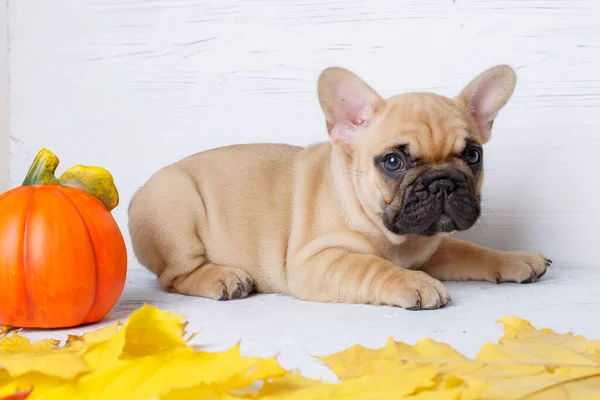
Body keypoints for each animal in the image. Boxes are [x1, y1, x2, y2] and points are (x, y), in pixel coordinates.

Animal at [129, 65, 552, 310]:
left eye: (473, 155)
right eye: (393, 162)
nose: (442, 183)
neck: (402, 240)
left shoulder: (434, 248)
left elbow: (469, 250)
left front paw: (513, 259)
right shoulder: (317, 260)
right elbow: (371, 266)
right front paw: (413, 283)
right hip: (175, 211)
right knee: (172, 277)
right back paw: (221, 278)